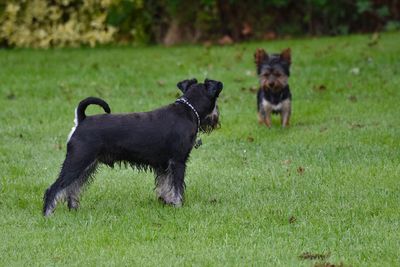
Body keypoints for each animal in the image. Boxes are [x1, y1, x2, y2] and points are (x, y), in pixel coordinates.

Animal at [43, 78, 222, 217]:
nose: (216, 119)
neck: (188, 110)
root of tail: (82, 120)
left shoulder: (164, 166)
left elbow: (165, 185)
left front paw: (167, 202)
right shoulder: (178, 162)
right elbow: (176, 186)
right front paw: (178, 205)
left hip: (87, 166)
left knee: (73, 188)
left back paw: (73, 209)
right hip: (77, 161)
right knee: (54, 188)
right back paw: (47, 214)